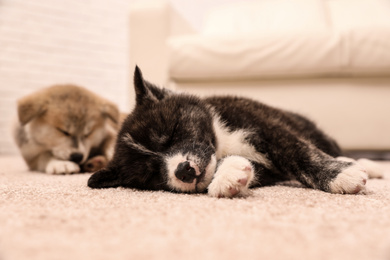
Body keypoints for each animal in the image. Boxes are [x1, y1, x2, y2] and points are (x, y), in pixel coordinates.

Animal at [87, 66, 380, 197]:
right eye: (150, 173)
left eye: (172, 131)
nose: (183, 170)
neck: (221, 140)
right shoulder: (266, 170)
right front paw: (229, 176)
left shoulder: (269, 126)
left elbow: (299, 151)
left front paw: (340, 176)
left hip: (312, 130)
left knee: (330, 147)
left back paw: (366, 165)